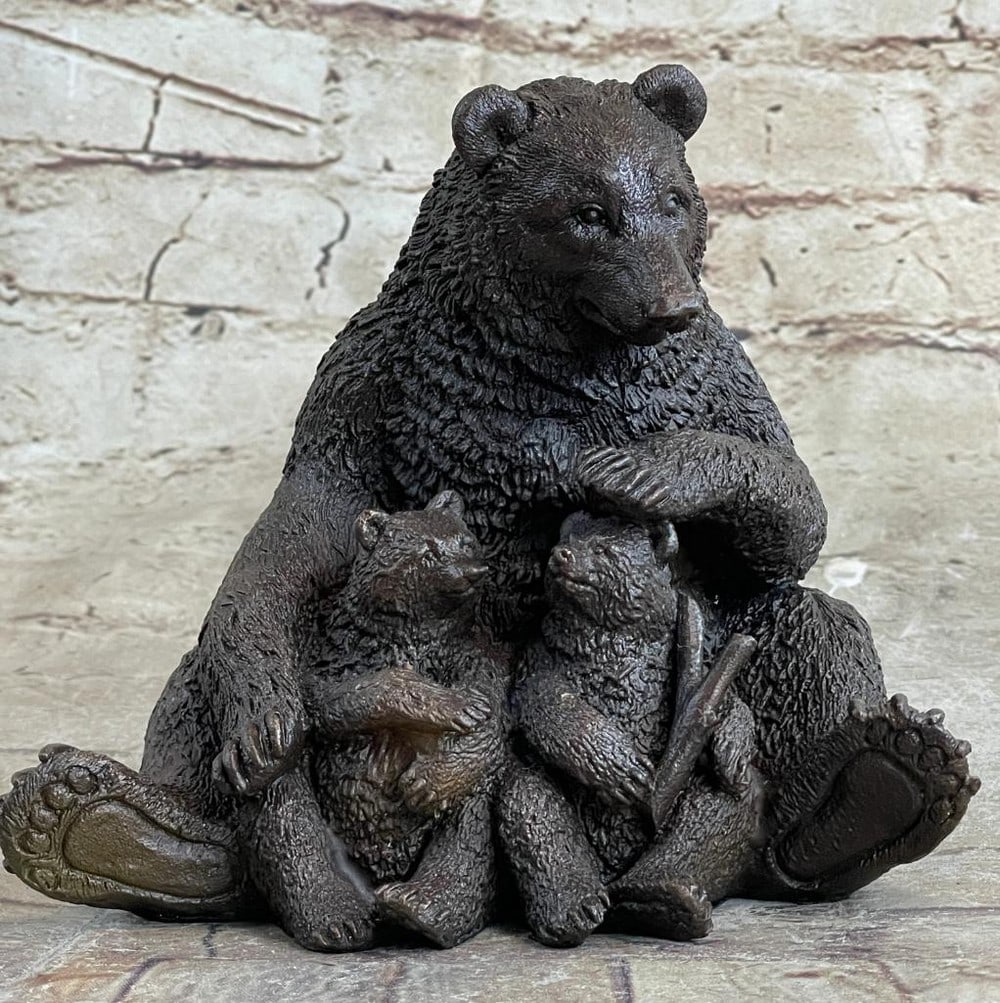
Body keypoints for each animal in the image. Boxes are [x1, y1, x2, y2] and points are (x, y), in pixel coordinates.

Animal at [502, 512, 759, 945]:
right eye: (563, 537)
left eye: (603, 549)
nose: (562, 554)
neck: (612, 633)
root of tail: (612, 870)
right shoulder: (543, 654)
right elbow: (541, 699)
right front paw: (618, 766)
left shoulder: (685, 649)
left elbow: (727, 701)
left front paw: (732, 743)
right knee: (531, 800)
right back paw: (574, 908)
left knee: (723, 804)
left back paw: (662, 896)